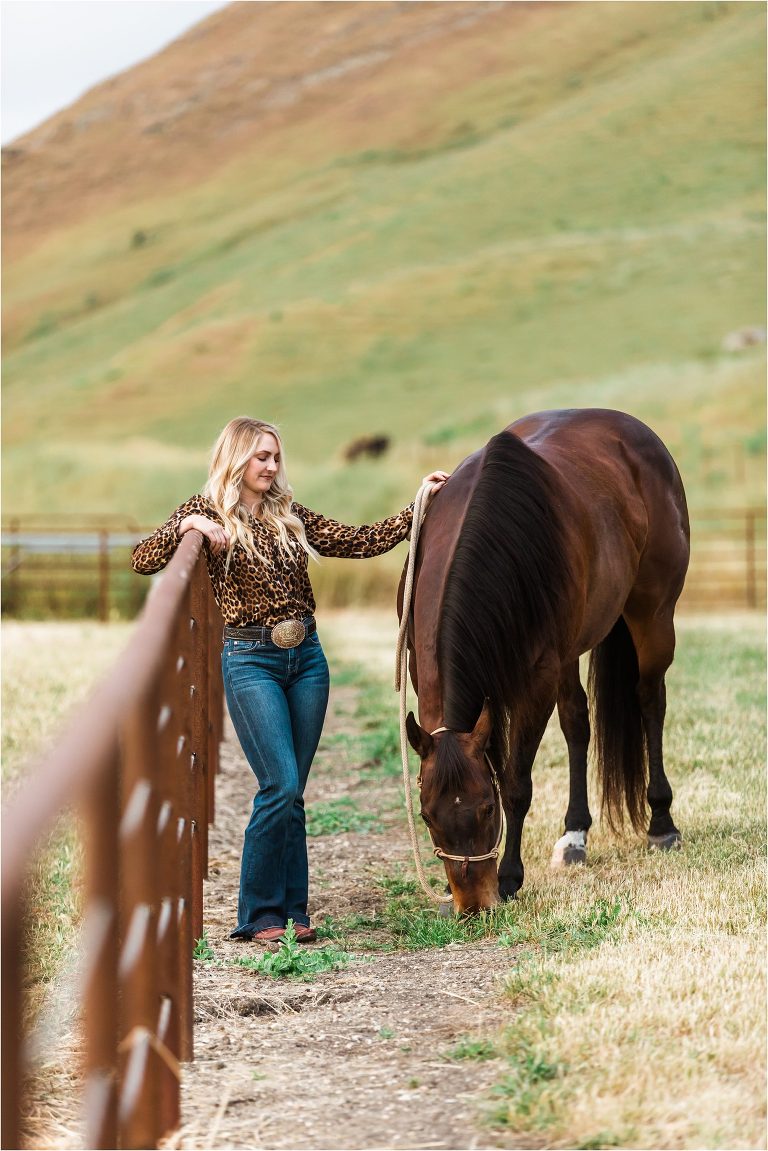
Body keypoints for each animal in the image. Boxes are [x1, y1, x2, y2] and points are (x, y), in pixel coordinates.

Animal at [398, 408, 690, 914]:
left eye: (486, 808)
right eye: (427, 815)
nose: (473, 906)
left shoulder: (534, 683)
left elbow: (516, 783)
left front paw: (510, 877)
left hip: (653, 619)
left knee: (650, 701)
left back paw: (661, 823)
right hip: (570, 653)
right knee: (577, 723)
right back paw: (575, 837)